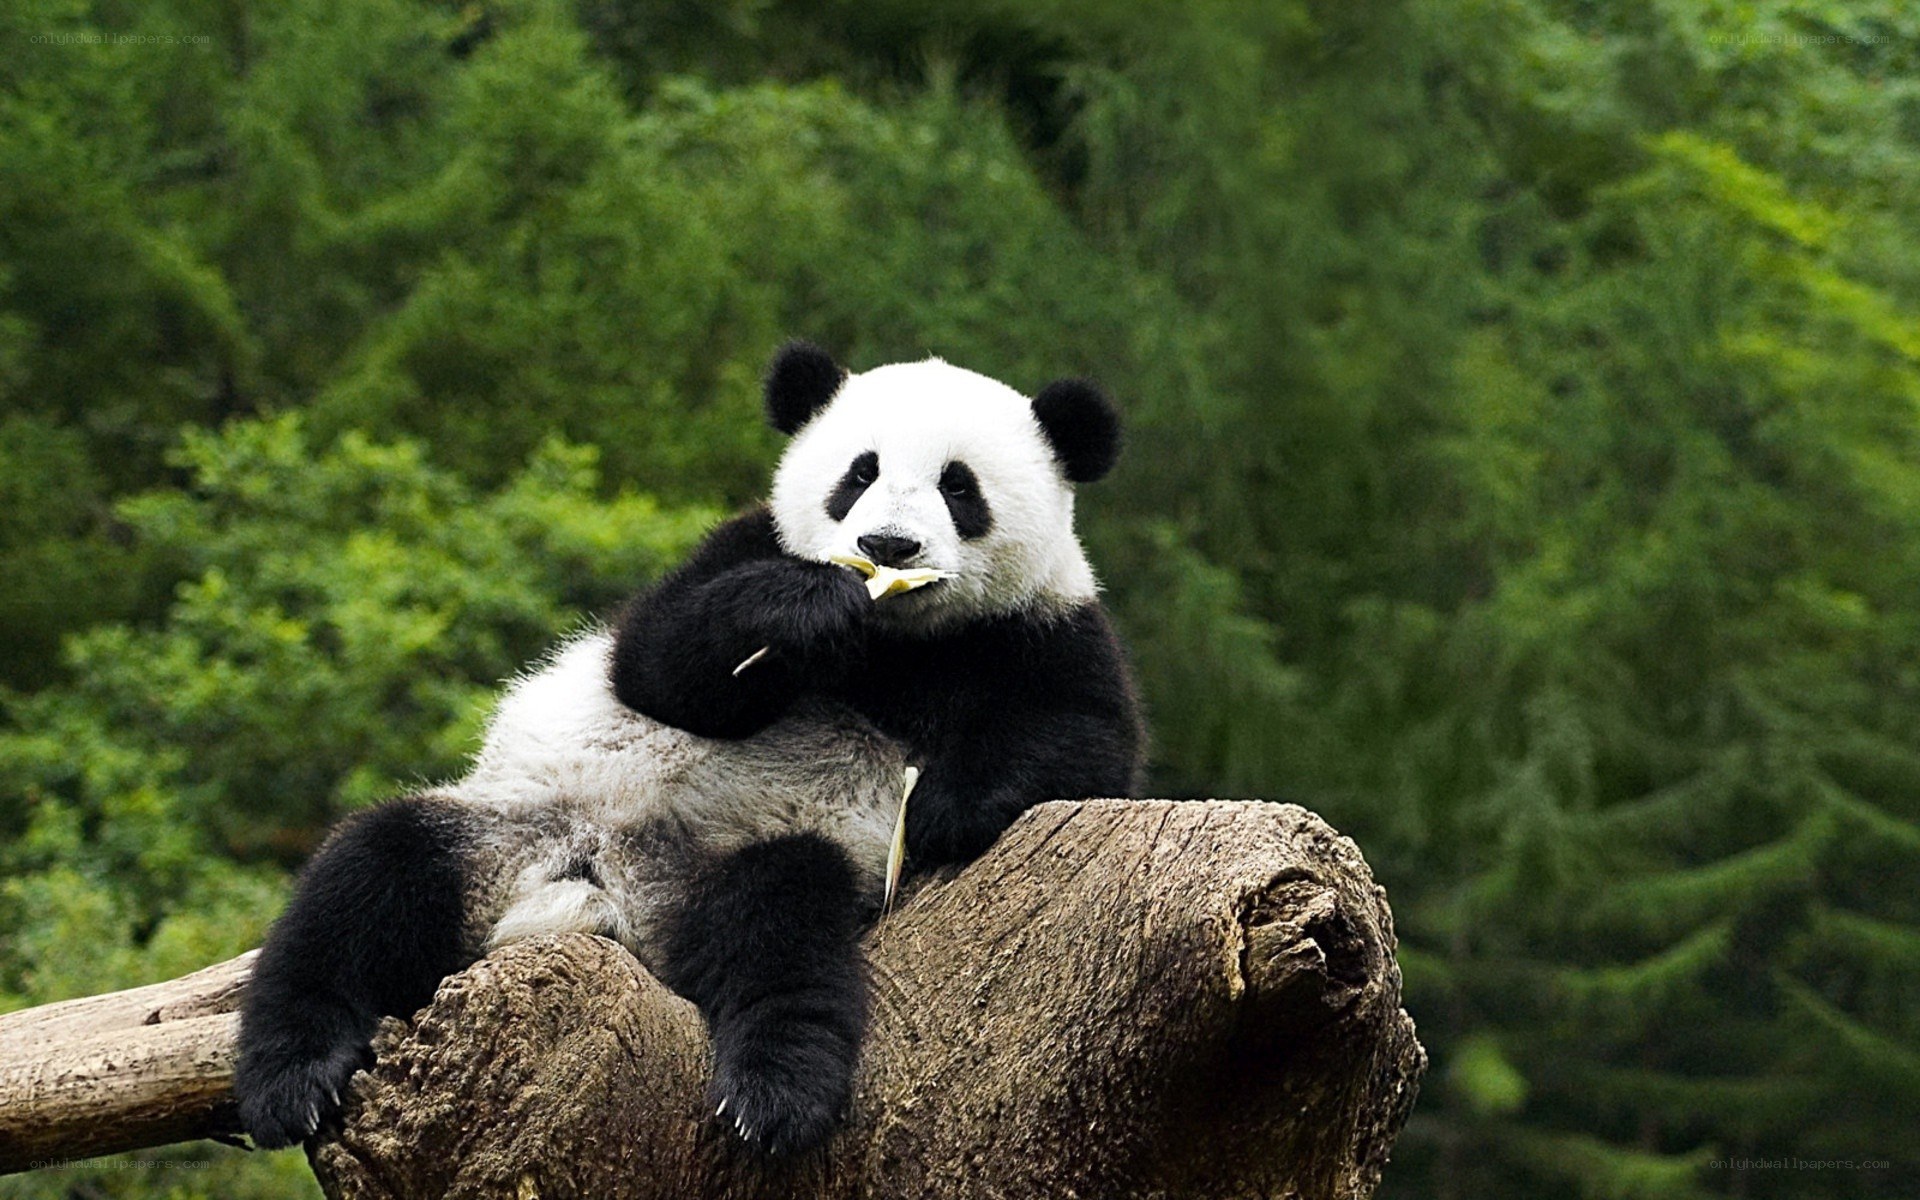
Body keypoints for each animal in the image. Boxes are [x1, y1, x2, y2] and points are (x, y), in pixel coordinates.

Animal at [233, 341, 1146, 1156]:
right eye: (859, 473)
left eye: (959, 486)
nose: (887, 547)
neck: (895, 639)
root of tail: (602, 887)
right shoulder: (741, 547)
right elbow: (657, 663)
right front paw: (802, 610)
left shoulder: (1043, 627)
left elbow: (1085, 743)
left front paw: (940, 809)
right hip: (505, 827)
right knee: (365, 880)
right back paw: (293, 1077)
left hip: (742, 859)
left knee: (779, 931)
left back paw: (774, 1094)